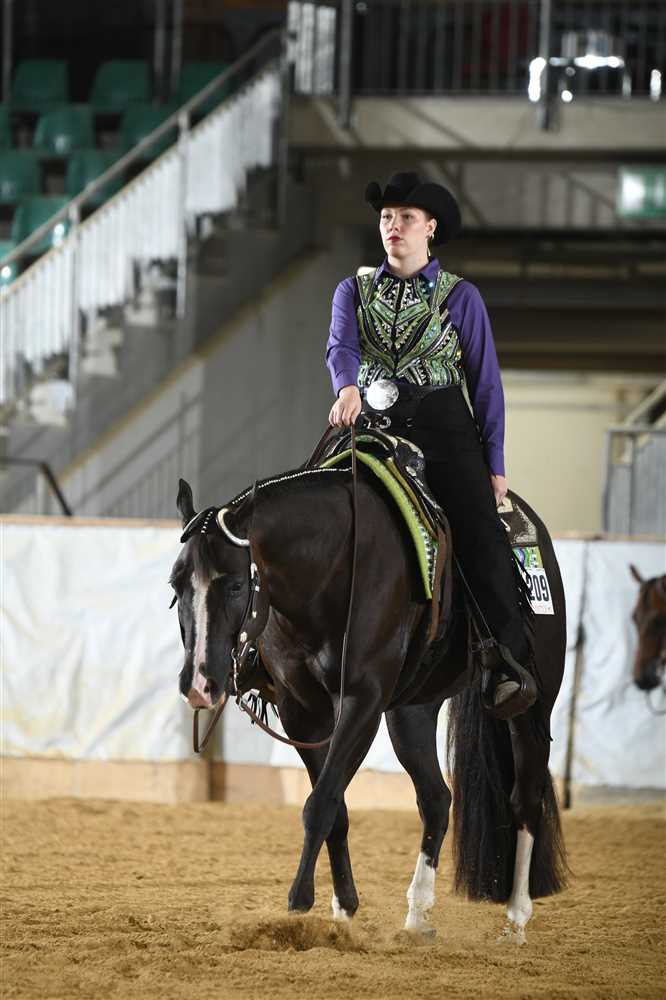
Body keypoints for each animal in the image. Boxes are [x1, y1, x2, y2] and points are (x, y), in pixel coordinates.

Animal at [170, 464, 567, 942]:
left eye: (233, 585)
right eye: (176, 584)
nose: (199, 682)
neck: (331, 571)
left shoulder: (363, 703)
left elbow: (320, 802)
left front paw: (298, 902)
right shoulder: (301, 712)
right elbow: (334, 805)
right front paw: (343, 907)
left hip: (533, 706)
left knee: (525, 800)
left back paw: (516, 917)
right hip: (411, 712)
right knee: (436, 799)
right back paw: (417, 915)